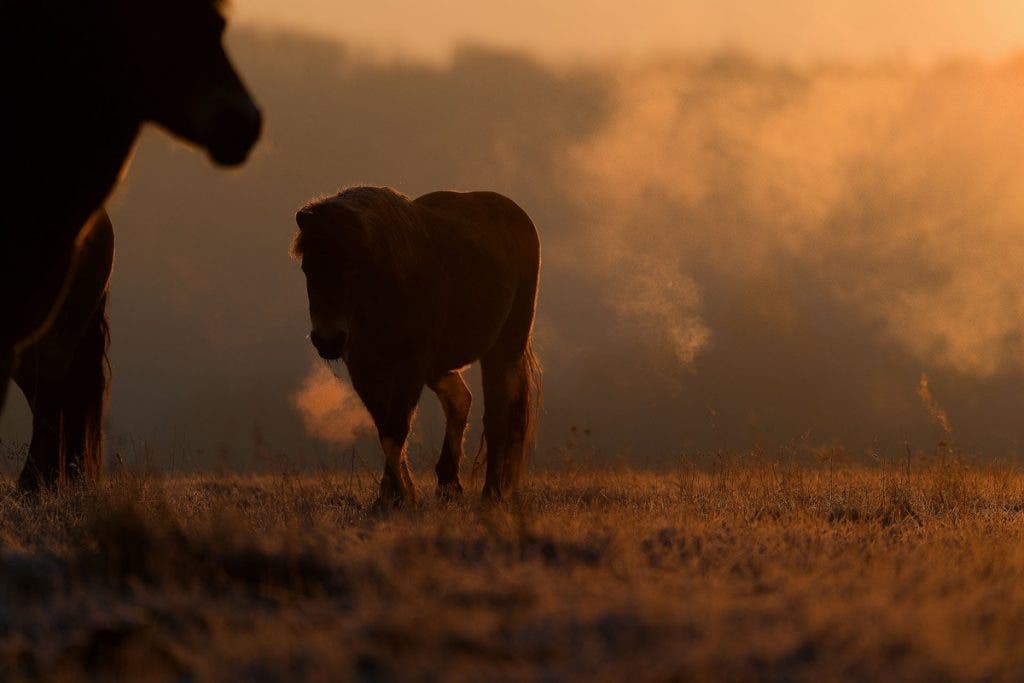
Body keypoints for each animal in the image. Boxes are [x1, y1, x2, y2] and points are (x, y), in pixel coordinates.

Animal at [292, 187, 542, 506]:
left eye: (354, 267)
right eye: (306, 267)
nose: (328, 339)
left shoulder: (410, 366)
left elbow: (397, 428)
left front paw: (399, 496)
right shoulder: (364, 368)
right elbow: (385, 428)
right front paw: (393, 495)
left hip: (503, 348)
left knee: (497, 413)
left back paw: (491, 493)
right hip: (439, 366)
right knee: (460, 399)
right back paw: (449, 485)